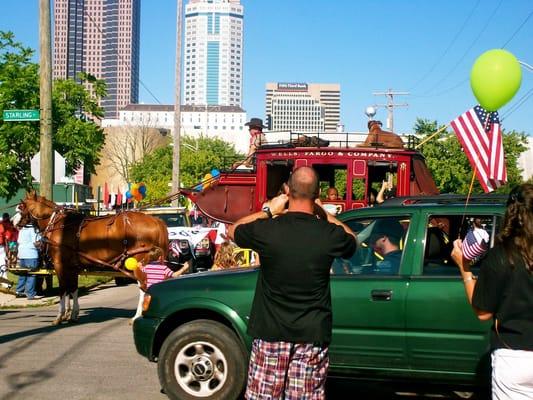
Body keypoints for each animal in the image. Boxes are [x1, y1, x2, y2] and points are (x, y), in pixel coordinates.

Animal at [19, 191, 167, 324]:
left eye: (20, 207)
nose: (16, 223)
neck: (59, 224)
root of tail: (156, 221)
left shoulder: (60, 264)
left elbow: (63, 289)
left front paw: (60, 316)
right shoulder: (72, 267)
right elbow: (73, 289)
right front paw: (72, 314)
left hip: (139, 262)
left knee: (144, 286)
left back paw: (137, 316)